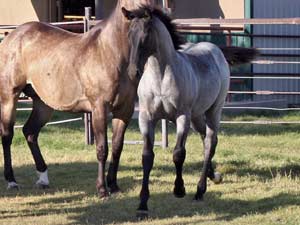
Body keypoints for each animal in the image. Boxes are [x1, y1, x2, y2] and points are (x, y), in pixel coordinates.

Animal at [0, 0, 154, 197]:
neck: (110, 52)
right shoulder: (99, 108)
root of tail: (11, 37)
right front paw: (102, 189)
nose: (136, 71)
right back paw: (11, 181)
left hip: (43, 104)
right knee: (7, 135)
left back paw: (43, 178)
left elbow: (117, 147)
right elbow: (102, 148)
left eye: (148, 33)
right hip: (9, 97)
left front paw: (114, 186)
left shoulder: (124, 110)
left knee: (30, 132)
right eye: (130, 32)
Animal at [122, 6, 258, 217]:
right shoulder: (146, 118)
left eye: (145, 35)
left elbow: (179, 153)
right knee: (206, 140)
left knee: (210, 141)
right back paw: (213, 176)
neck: (160, 77)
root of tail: (215, 49)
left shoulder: (182, 117)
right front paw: (142, 205)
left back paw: (200, 190)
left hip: (213, 111)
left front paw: (179, 189)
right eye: (129, 35)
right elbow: (147, 157)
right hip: (196, 116)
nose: (132, 72)